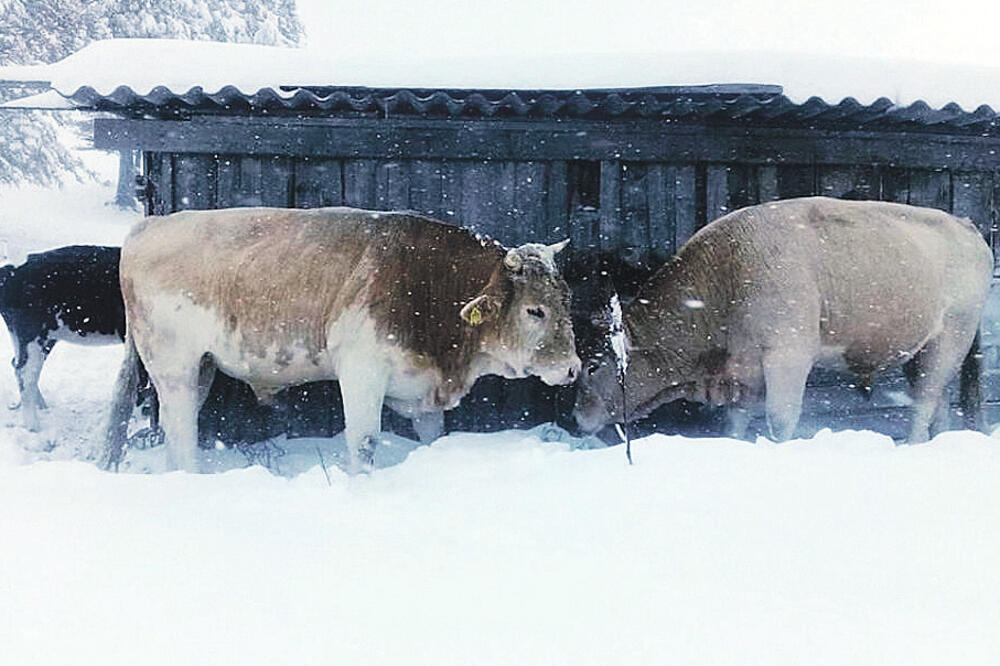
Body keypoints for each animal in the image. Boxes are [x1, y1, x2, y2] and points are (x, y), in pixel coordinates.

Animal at [0, 245, 126, 430]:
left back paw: (41, 405)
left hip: (32, 336)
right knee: (26, 372)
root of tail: (10, 270)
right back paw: (33, 426)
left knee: (17, 365)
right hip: (32, 333)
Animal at [105, 205, 584, 470]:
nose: (572, 368)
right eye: (535, 310)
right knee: (182, 430)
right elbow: (365, 444)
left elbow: (434, 436)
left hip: (201, 367)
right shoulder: (362, 371)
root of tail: (149, 226)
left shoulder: (424, 394)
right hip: (175, 366)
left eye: (567, 300)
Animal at [576, 197, 996, 446]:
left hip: (948, 342)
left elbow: (780, 419)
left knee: (924, 400)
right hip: (923, 352)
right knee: (939, 401)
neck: (729, 270)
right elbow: (735, 421)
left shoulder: (787, 356)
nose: (578, 416)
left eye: (594, 365)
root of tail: (966, 225)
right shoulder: (742, 370)